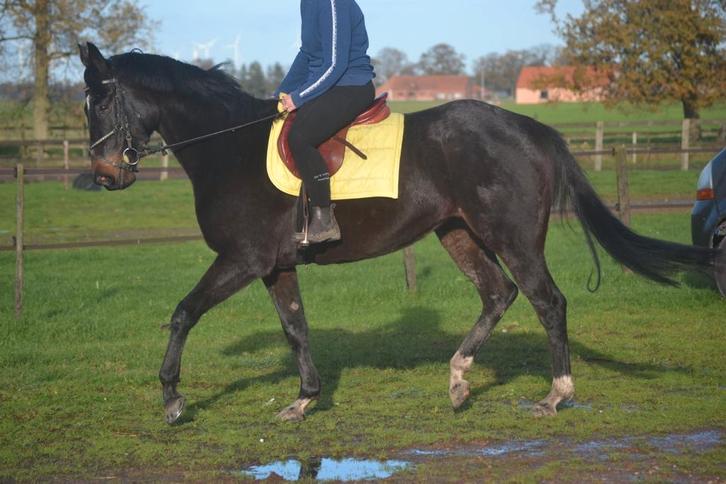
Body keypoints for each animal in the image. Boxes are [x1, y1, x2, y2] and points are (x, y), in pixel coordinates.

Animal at [78, 42, 721, 425]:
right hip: (458, 233)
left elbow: (183, 313)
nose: (105, 175)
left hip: (512, 239)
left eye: (102, 101)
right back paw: (459, 380)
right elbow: (295, 329)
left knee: (547, 301)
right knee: (499, 295)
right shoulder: (275, 265)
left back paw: (556, 394)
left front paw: (173, 399)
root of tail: (533, 129)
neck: (227, 146)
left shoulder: (241, 259)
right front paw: (304, 400)